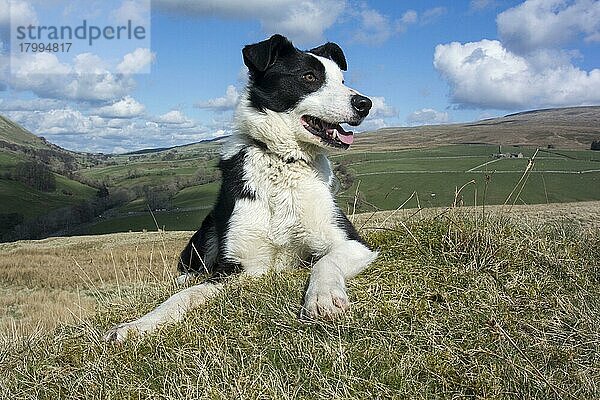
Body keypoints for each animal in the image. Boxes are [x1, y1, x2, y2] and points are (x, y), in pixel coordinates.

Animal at [103, 34, 376, 342]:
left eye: (341, 80)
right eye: (309, 77)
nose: (365, 103)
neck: (281, 161)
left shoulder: (351, 242)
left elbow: (324, 262)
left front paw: (323, 297)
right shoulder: (237, 268)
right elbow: (185, 296)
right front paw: (137, 324)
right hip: (211, 224)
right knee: (192, 271)